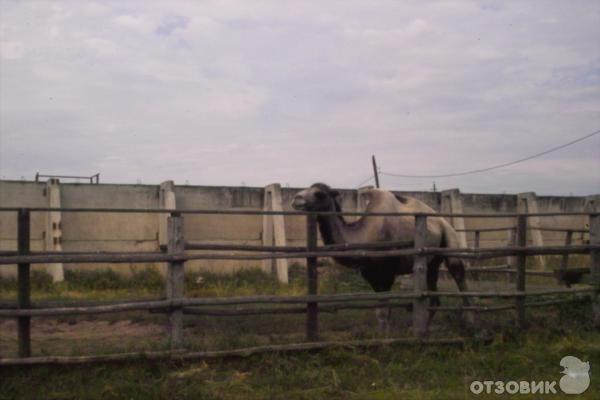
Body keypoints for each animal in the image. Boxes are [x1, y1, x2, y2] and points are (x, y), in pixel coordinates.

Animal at [292, 183, 474, 332]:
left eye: (319, 193)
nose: (296, 199)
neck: (363, 235)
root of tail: (442, 221)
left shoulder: (387, 273)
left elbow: (385, 311)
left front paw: (386, 340)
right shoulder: (371, 274)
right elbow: (380, 312)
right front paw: (382, 336)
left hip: (450, 239)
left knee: (458, 273)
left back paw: (469, 322)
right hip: (433, 260)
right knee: (434, 298)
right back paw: (424, 331)